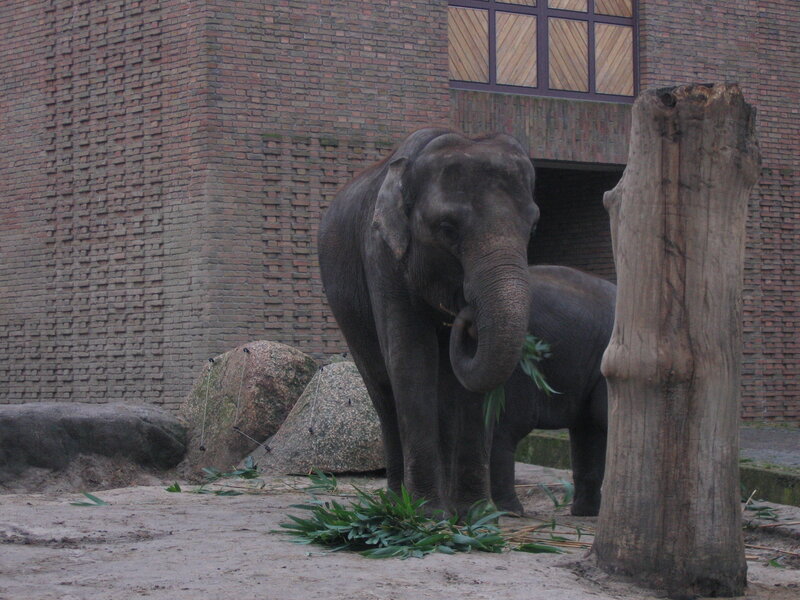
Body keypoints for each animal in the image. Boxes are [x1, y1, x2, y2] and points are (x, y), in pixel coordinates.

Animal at [318, 128, 539, 515]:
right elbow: (411, 359)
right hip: (346, 312)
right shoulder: (383, 256)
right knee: (382, 388)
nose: (466, 317)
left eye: (533, 226)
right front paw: (426, 515)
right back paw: (397, 500)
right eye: (447, 229)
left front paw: (476, 516)